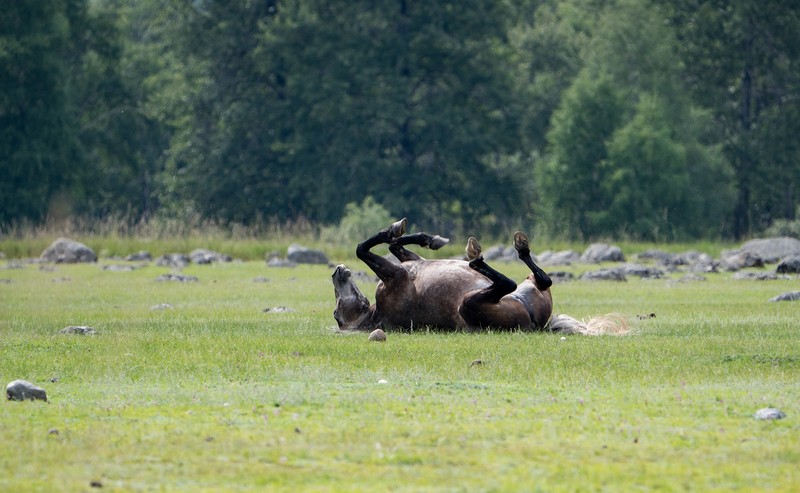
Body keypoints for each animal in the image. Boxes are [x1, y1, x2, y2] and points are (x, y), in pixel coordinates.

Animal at [330, 218, 624, 334]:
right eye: (336, 314)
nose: (336, 272)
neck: (376, 314)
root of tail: (534, 325)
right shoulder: (395, 275)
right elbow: (362, 248)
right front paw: (394, 229)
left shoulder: (411, 263)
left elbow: (393, 246)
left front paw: (429, 238)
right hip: (469, 303)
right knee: (508, 282)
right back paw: (477, 256)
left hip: (531, 288)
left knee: (542, 279)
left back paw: (520, 246)